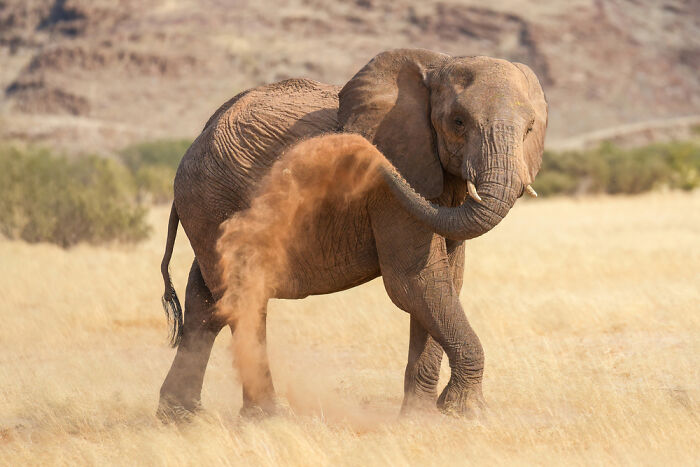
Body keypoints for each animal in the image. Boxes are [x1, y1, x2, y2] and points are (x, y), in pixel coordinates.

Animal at [157, 48, 547, 419]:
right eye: (458, 121)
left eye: (530, 128)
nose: (352, 150)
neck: (438, 65)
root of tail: (198, 136)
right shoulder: (391, 189)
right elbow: (414, 281)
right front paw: (466, 412)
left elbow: (446, 281)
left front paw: (425, 416)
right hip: (210, 199)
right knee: (243, 296)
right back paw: (265, 417)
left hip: (210, 209)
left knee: (205, 301)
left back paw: (181, 417)